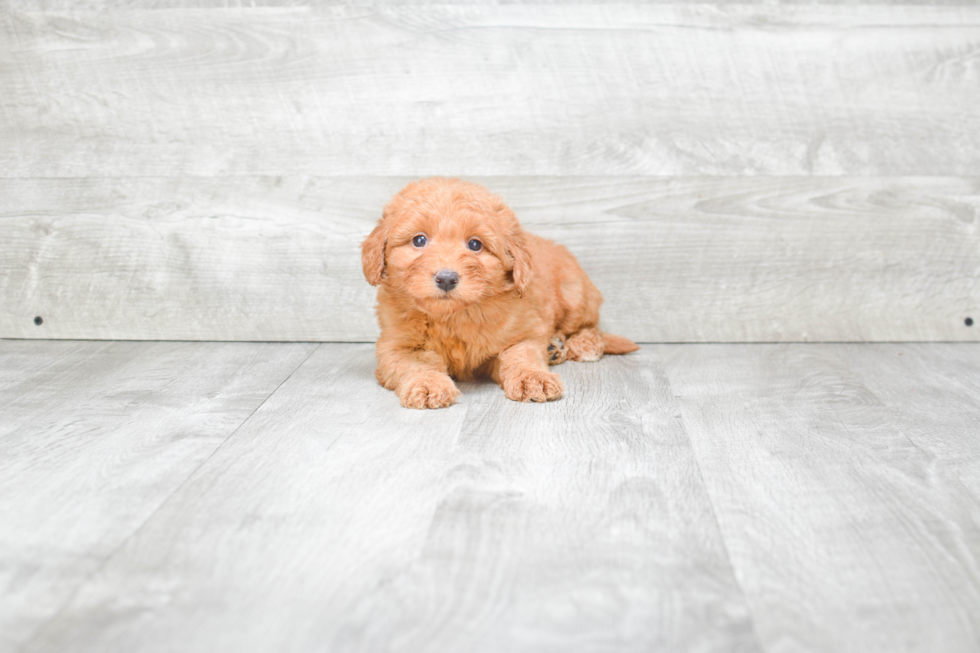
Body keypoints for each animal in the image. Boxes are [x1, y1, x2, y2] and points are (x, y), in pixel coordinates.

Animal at [364, 176, 640, 404]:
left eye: (475, 245)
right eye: (419, 240)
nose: (446, 278)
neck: (453, 316)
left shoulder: (524, 330)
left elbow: (521, 354)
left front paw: (533, 379)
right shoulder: (395, 346)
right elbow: (414, 364)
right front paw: (429, 384)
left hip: (575, 295)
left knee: (591, 327)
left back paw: (580, 345)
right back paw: (555, 348)